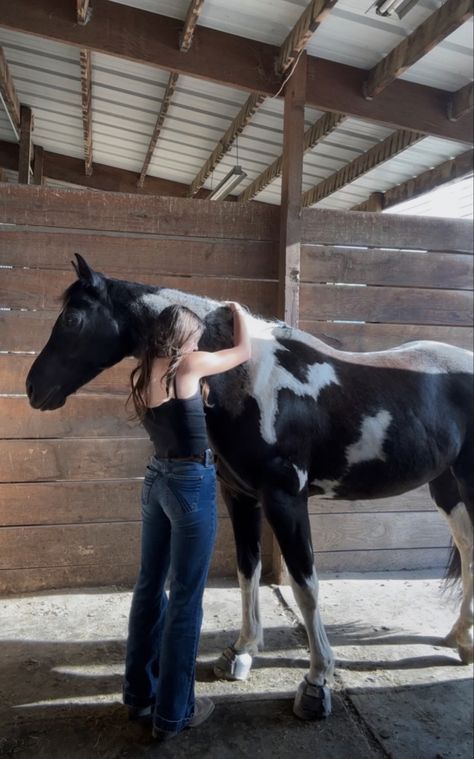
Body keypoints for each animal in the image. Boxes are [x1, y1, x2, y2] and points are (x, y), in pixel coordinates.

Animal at [26, 254, 474, 720]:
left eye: (72, 317)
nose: (33, 388)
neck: (248, 379)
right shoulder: (240, 497)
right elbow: (248, 570)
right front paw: (241, 652)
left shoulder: (286, 500)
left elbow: (305, 585)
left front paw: (316, 682)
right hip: (446, 486)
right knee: (468, 549)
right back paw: (459, 638)